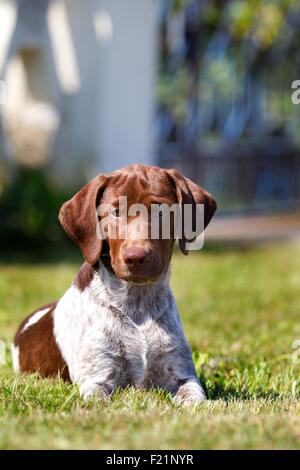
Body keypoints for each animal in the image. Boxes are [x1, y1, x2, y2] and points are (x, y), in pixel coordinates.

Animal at [11, 163, 217, 402]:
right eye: (116, 212)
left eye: (161, 211)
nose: (136, 257)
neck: (137, 304)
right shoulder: (97, 379)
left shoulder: (182, 374)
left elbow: (195, 398)